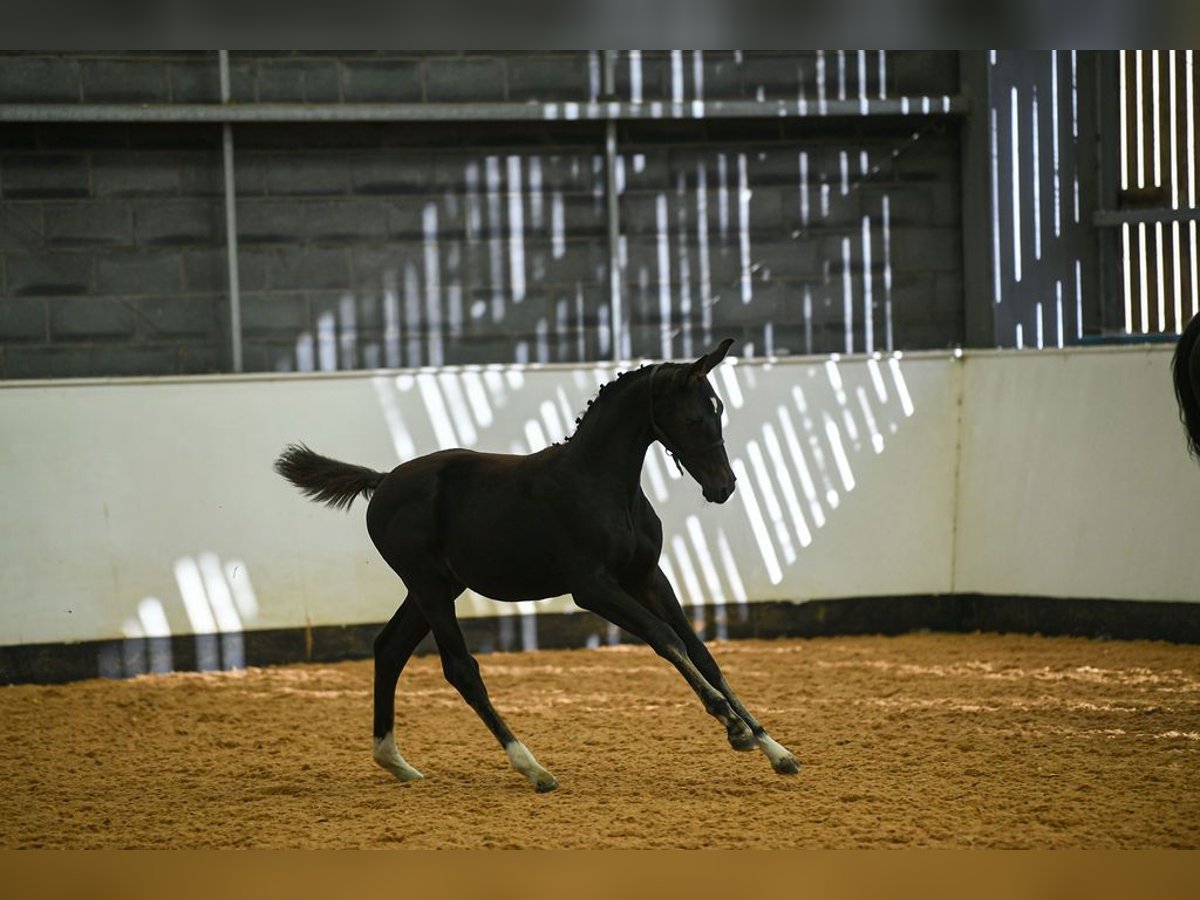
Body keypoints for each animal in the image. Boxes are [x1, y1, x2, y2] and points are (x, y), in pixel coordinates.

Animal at [274, 339, 799, 792]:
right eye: (692, 417)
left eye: (719, 409)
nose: (724, 486)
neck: (601, 483)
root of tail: (382, 481)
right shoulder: (592, 587)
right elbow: (665, 638)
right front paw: (732, 725)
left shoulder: (648, 576)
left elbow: (701, 651)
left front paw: (773, 748)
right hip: (427, 585)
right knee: (460, 669)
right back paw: (532, 768)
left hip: (438, 587)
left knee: (388, 649)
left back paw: (396, 762)